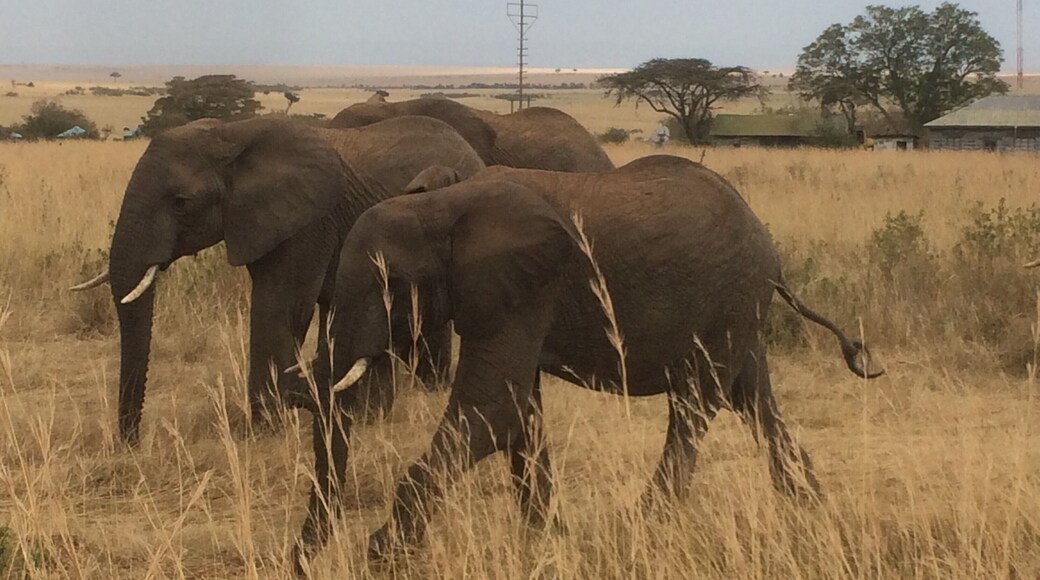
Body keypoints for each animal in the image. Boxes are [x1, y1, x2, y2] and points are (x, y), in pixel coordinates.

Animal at [70, 114, 485, 446]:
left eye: (181, 202)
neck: (232, 135)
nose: (132, 444)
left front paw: (264, 432)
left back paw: (427, 391)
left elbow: (279, 308)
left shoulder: (308, 222)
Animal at [291, 154, 883, 564]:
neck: (443, 204)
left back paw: (642, 525)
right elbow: (519, 412)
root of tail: (767, 245)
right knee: (752, 398)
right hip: (740, 308)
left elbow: (491, 408)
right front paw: (546, 539)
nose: (300, 560)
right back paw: (811, 510)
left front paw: (381, 554)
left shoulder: (526, 288)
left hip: (730, 300)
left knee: (696, 404)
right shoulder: (515, 294)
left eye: (389, 286)